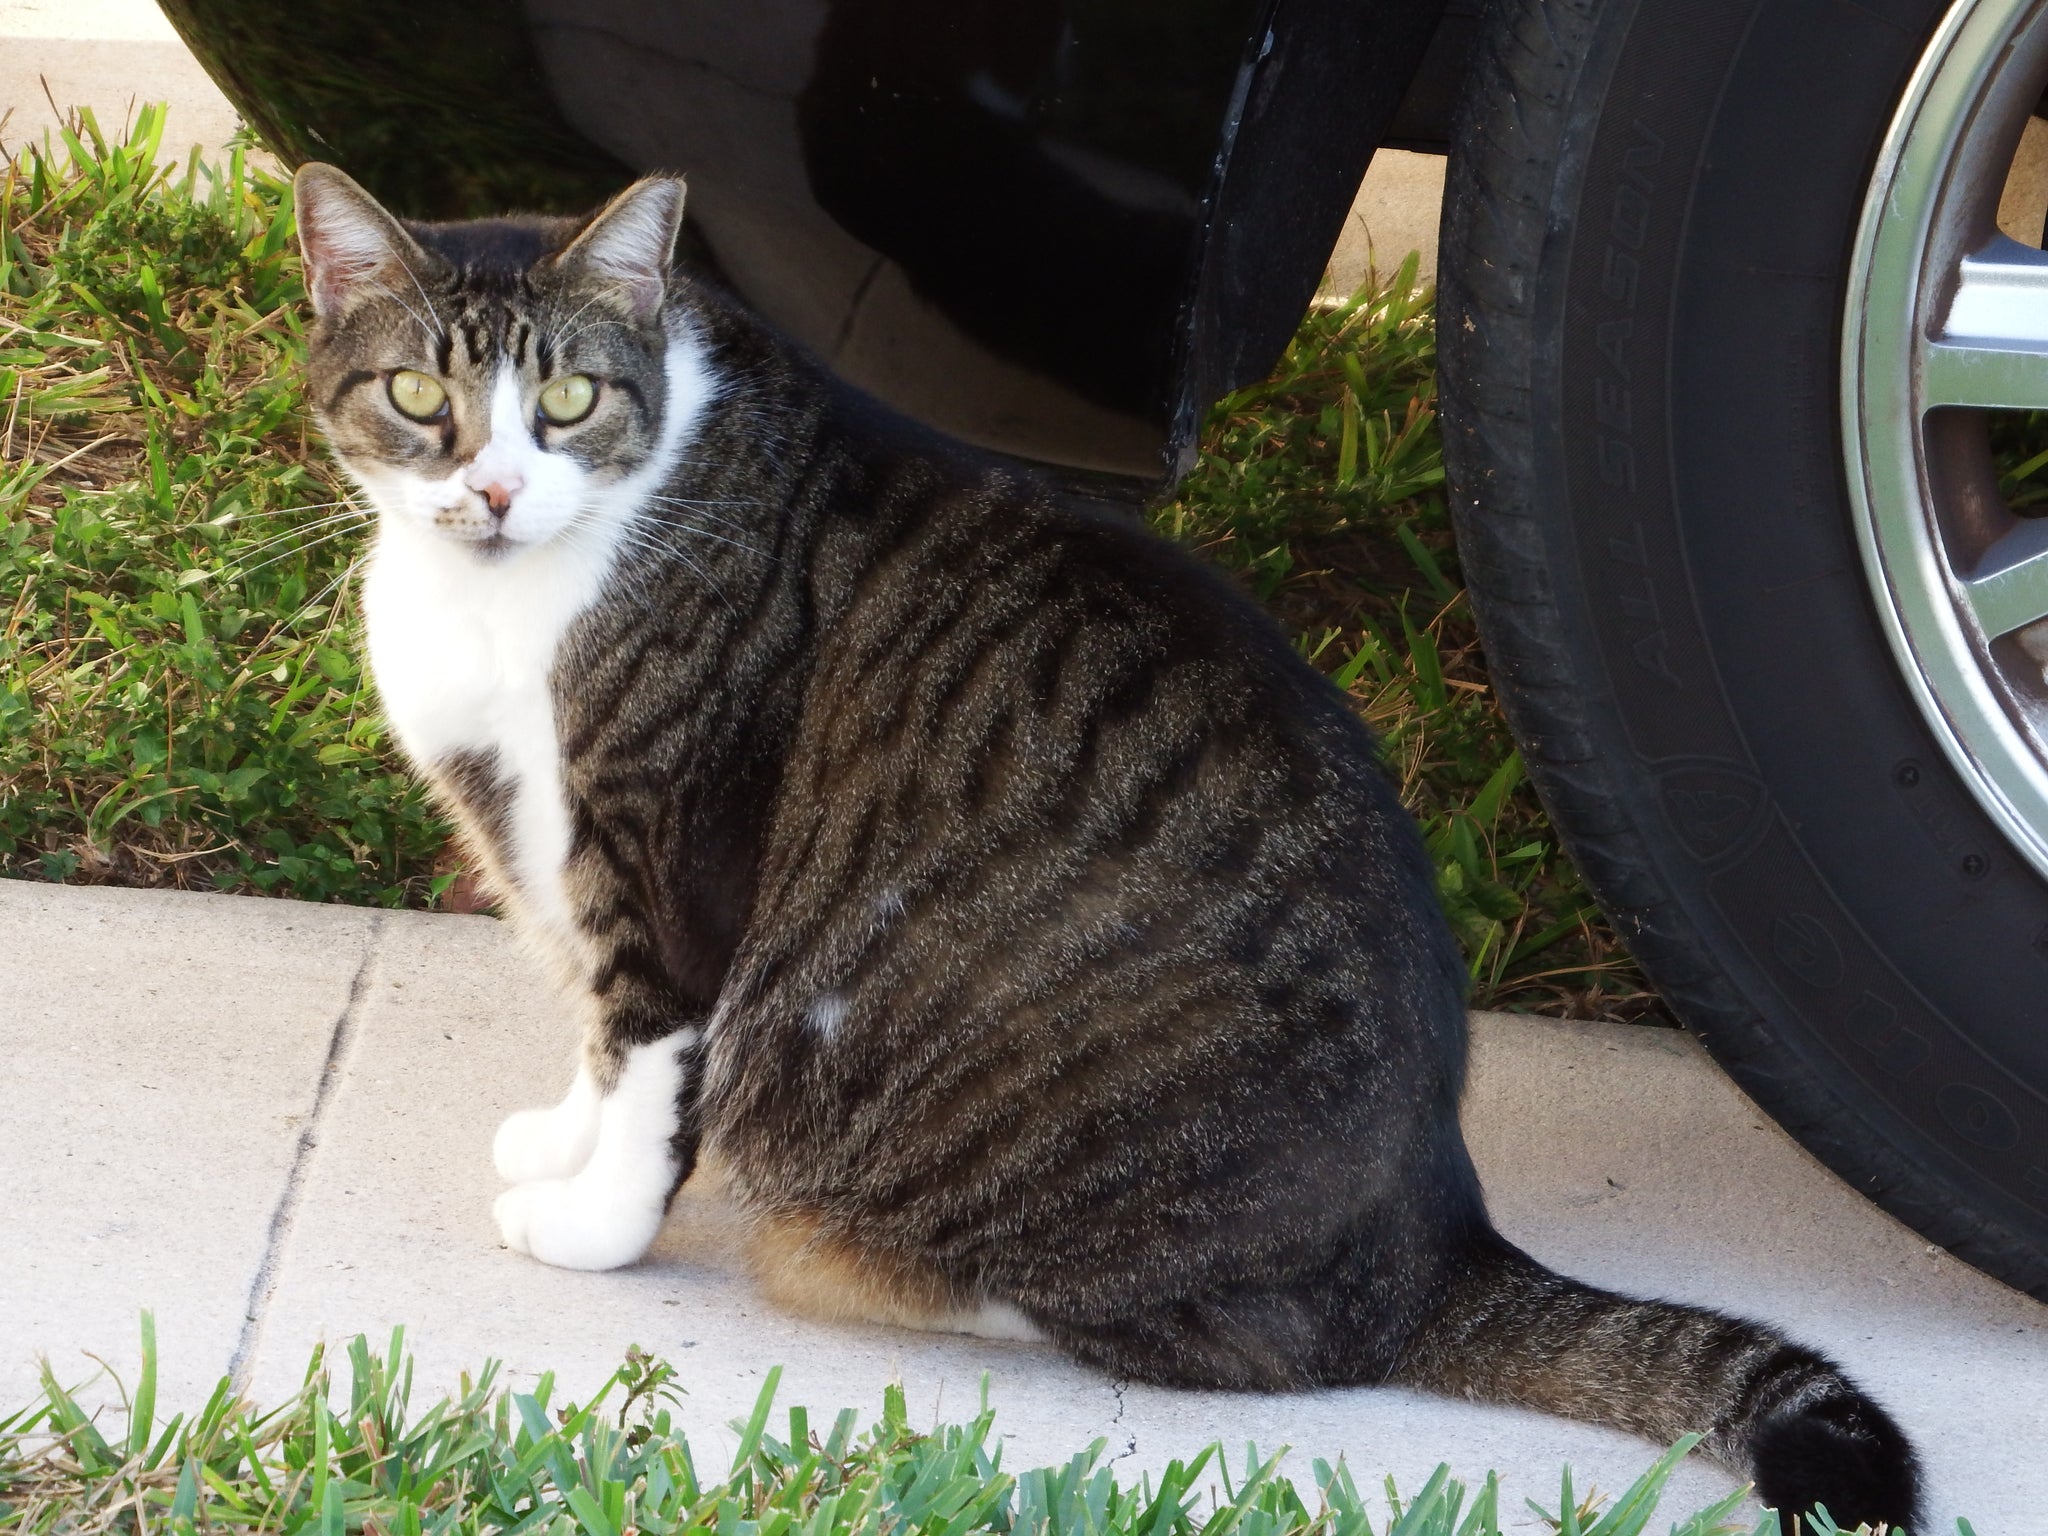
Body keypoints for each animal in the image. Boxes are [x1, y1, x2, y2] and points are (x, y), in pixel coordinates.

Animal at [296, 162, 1925, 1531]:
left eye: (568, 397)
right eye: (417, 394)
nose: (494, 488)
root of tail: (1438, 1235)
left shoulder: (665, 848)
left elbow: (648, 1052)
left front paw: (594, 1222)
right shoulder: (557, 844)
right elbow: (595, 1031)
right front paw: (559, 1142)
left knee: (1236, 1338)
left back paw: (848, 1259)